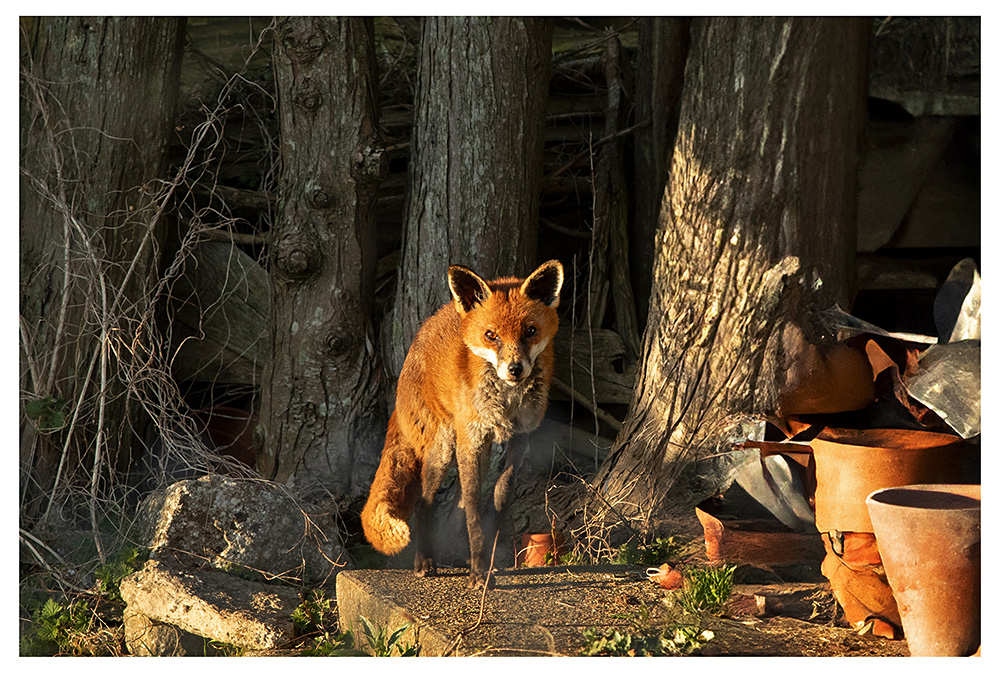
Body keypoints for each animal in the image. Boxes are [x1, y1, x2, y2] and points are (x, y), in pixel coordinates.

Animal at [361, 259, 564, 587]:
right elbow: (472, 509)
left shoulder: (519, 437)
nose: (515, 369)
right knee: (424, 503)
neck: (506, 403)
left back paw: (461, 555)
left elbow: (499, 498)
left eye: (530, 331)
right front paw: (480, 572)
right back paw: (424, 561)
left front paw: (484, 560)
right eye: (491, 335)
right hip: (444, 449)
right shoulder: (472, 439)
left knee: (456, 508)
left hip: (478, 453)